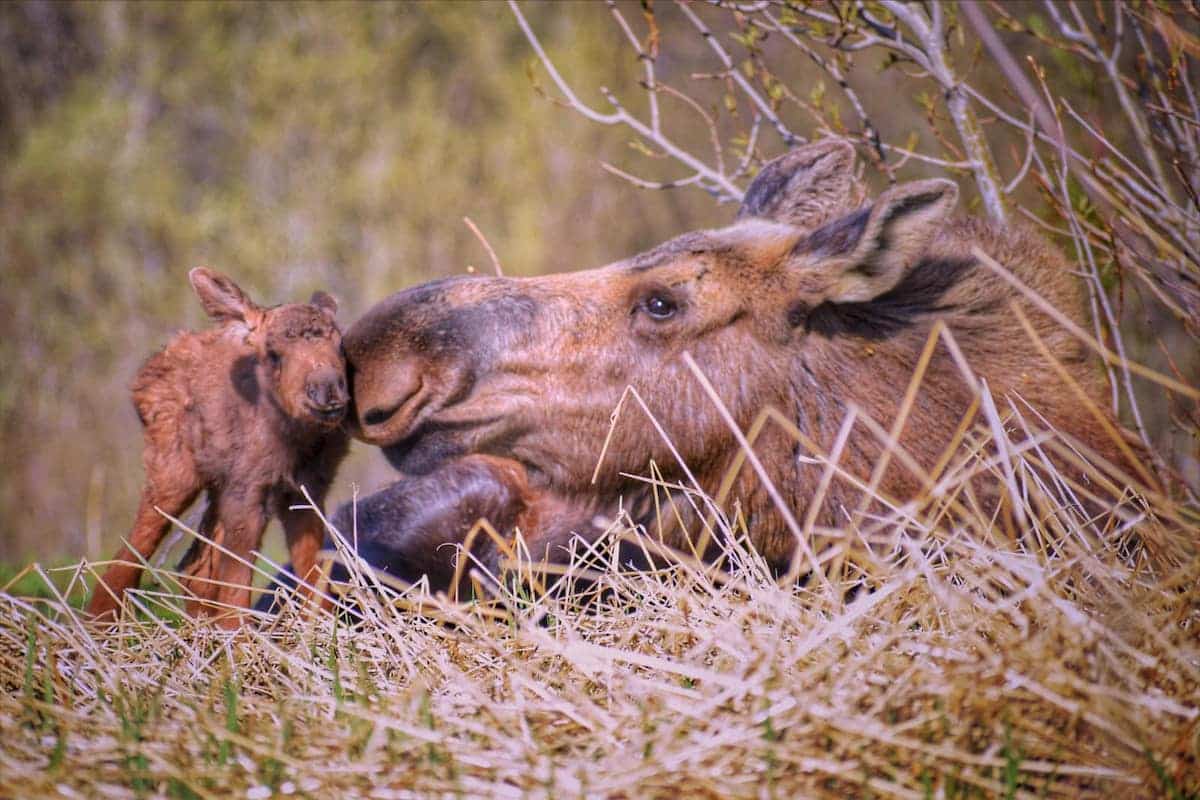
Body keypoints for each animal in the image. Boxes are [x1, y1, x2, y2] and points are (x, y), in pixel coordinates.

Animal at [87, 268, 350, 623]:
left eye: (340, 345)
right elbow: (237, 583)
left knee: (195, 564)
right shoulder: (249, 487)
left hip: (219, 483)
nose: (327, 390)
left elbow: (313, 574)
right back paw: (98, 623)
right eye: (273, 354)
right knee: (133, 552)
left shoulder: (306, 490)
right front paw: (237, 638)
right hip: (174, 469)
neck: (295, 443)